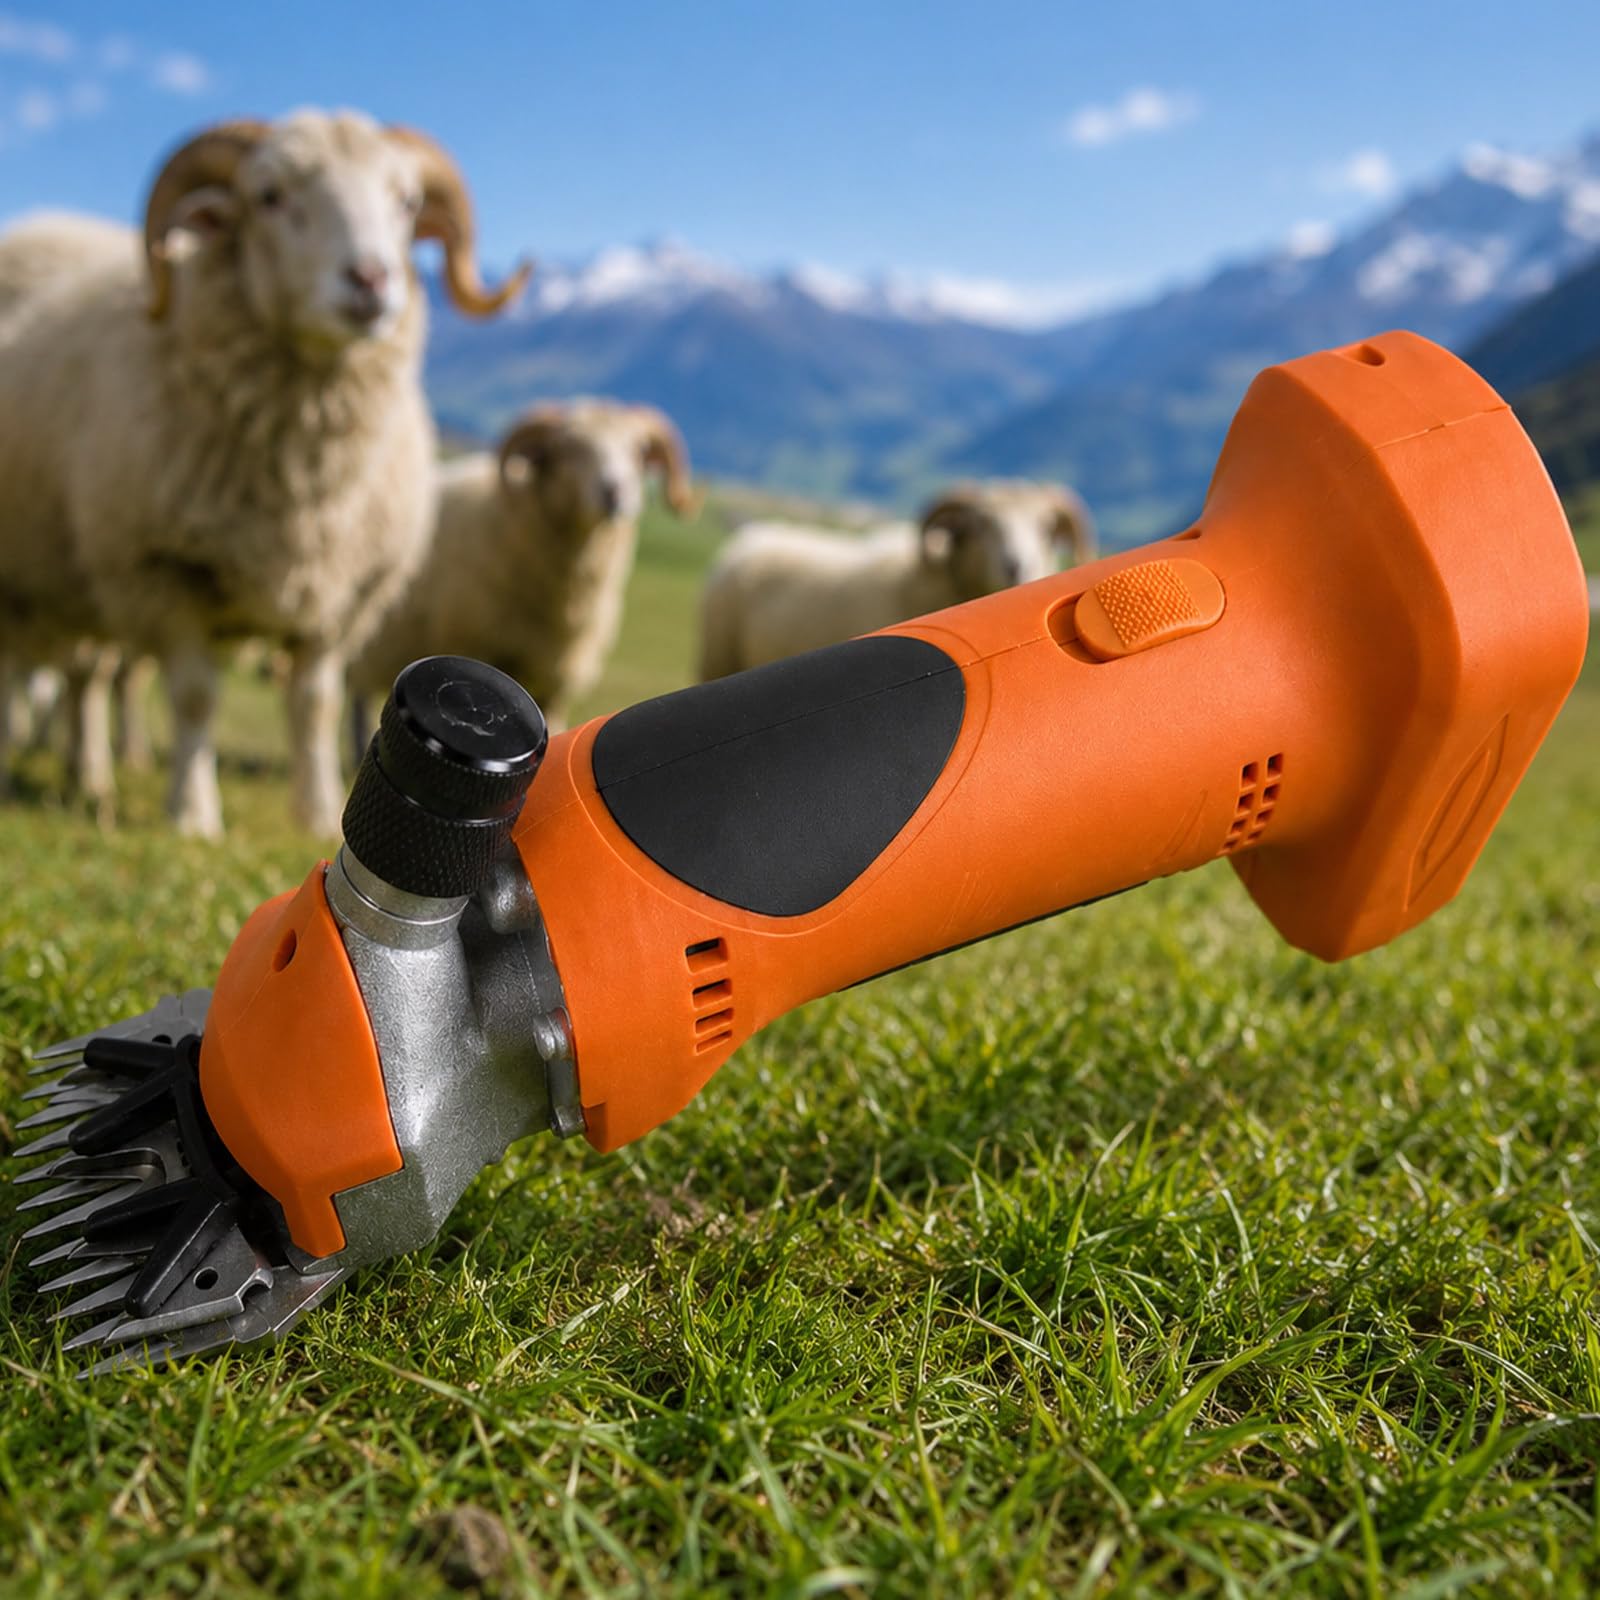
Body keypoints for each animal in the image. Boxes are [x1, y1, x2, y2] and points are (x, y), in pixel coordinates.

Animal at [0, 110, 528, 835]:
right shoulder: (163, 571)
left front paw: (316, 813)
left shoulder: (339, 593)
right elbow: (195, 698)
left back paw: (91, 778)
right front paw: (193, 816)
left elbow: (314, 705)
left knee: (84, 681)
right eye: (269, 196)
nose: (371, 280)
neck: (298, 480)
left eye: (406, 202)